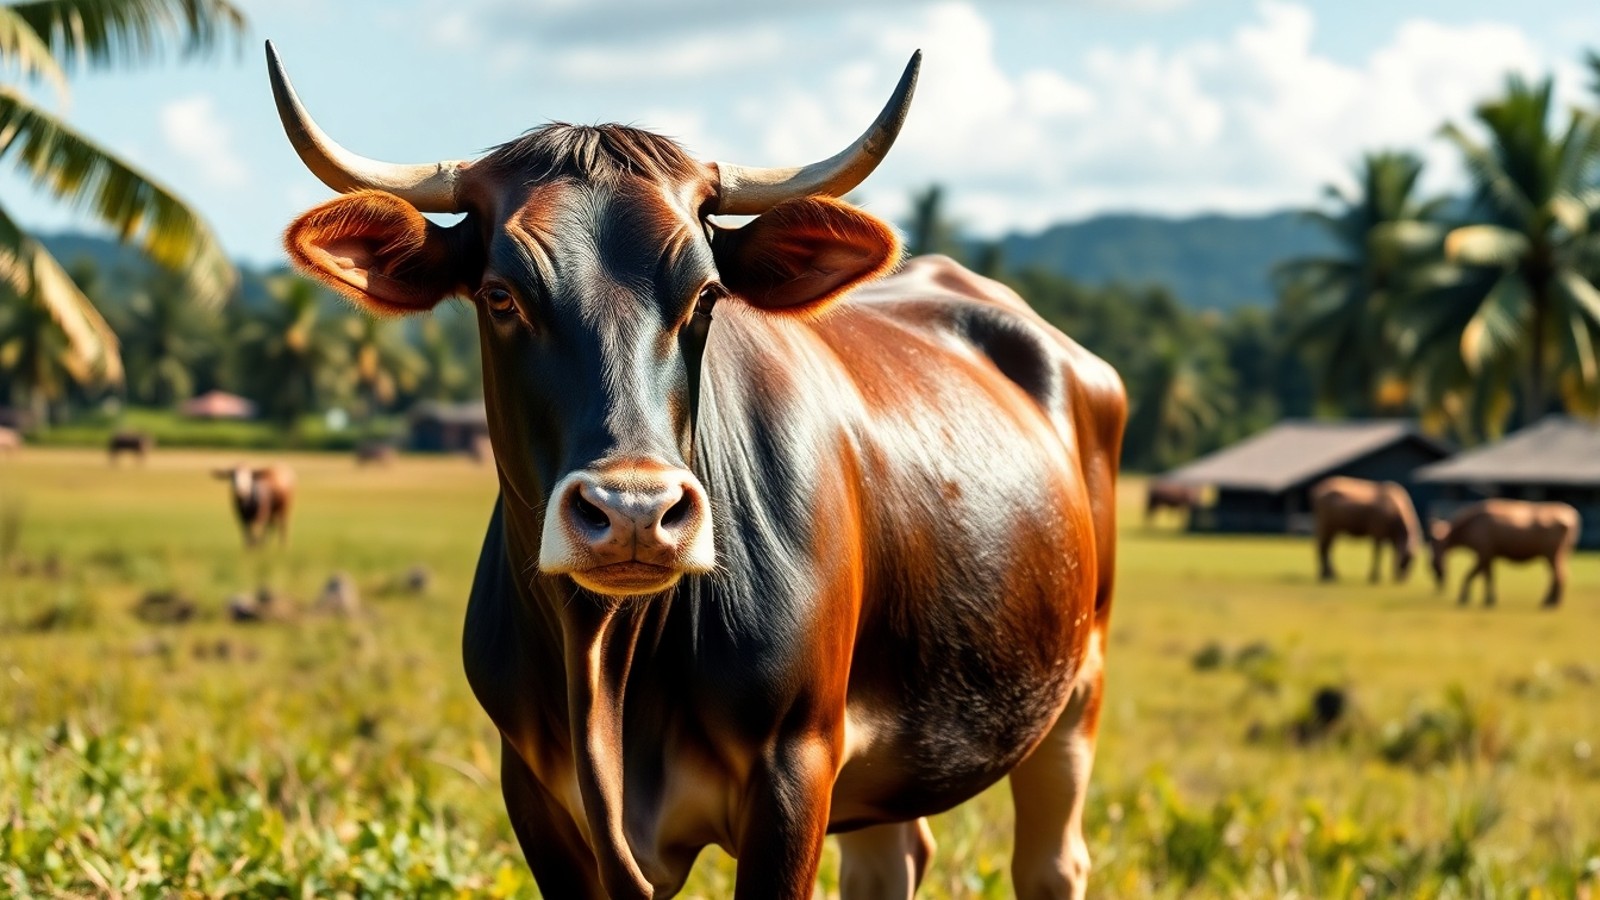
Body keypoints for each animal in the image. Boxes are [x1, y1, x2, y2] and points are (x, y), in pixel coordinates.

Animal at [268, 42, 1126, 900]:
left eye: (707, 293)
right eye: (501, 295)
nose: (633, 512)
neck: (605, 665)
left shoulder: (795, 769)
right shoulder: (535, 793)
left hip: (1075, 686)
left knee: (1051, 862)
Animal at [1429, 499, 1580, 608]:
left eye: (1435, 545)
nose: (1435, 567)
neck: (1470, 527)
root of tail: (1571, 516)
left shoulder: (1483, 554)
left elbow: (1470, 575)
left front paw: (1464, 597)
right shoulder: (1489, 556)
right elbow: (1488, 577)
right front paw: (1489, 599)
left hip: (1552, 554)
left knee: (1559, 575)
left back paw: (1552, 603)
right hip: (1558, 554)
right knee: (1555, 575)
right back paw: (1549, 600)